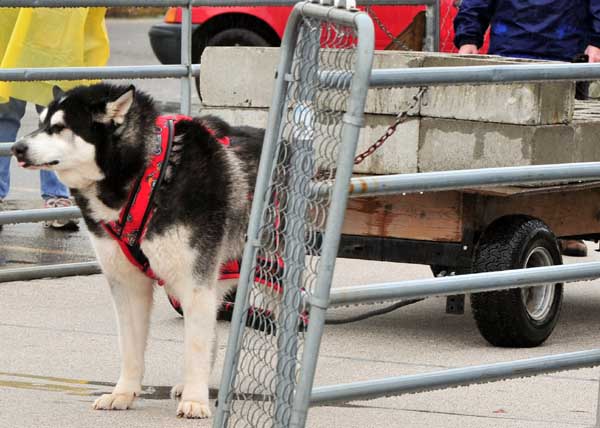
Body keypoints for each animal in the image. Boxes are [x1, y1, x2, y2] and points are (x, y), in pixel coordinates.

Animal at [12, 83, 262, 418]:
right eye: (40, 123)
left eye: (60, 127)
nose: (16, 148)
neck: (150, 172)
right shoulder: (128, 285)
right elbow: (131, 348)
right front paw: (124, 393)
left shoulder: (195, 283)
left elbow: (194, 346)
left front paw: (195, 400)